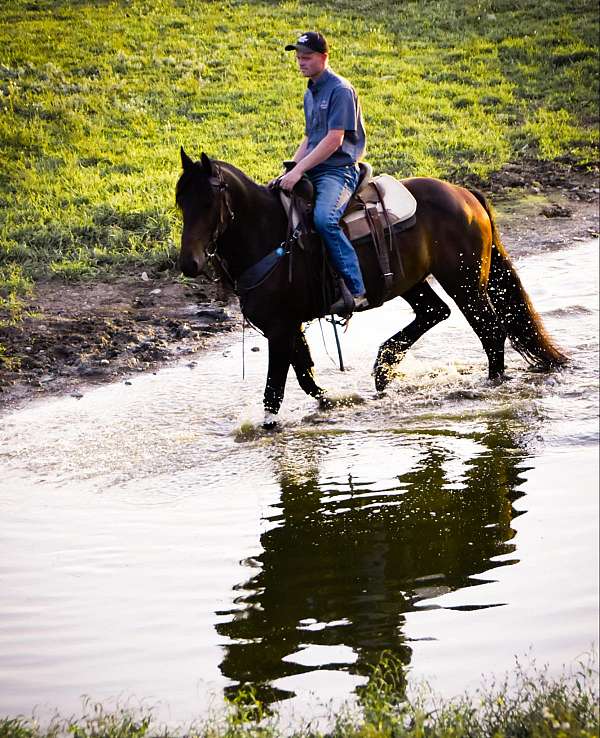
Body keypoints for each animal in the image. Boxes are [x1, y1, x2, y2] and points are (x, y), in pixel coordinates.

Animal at [175, 148, 568, 426]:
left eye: (209, 202)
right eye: (181, 202)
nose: (189, 264)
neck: (271, 236)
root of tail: (465, 194)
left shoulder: (280, 329)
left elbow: (276, 390)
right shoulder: (289, 327)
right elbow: (306, 377)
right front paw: (335, 402)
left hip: (465, 281)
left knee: (491, 330)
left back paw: (491, 385)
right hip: (412, 281)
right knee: (435, 312)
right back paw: (383, 367)